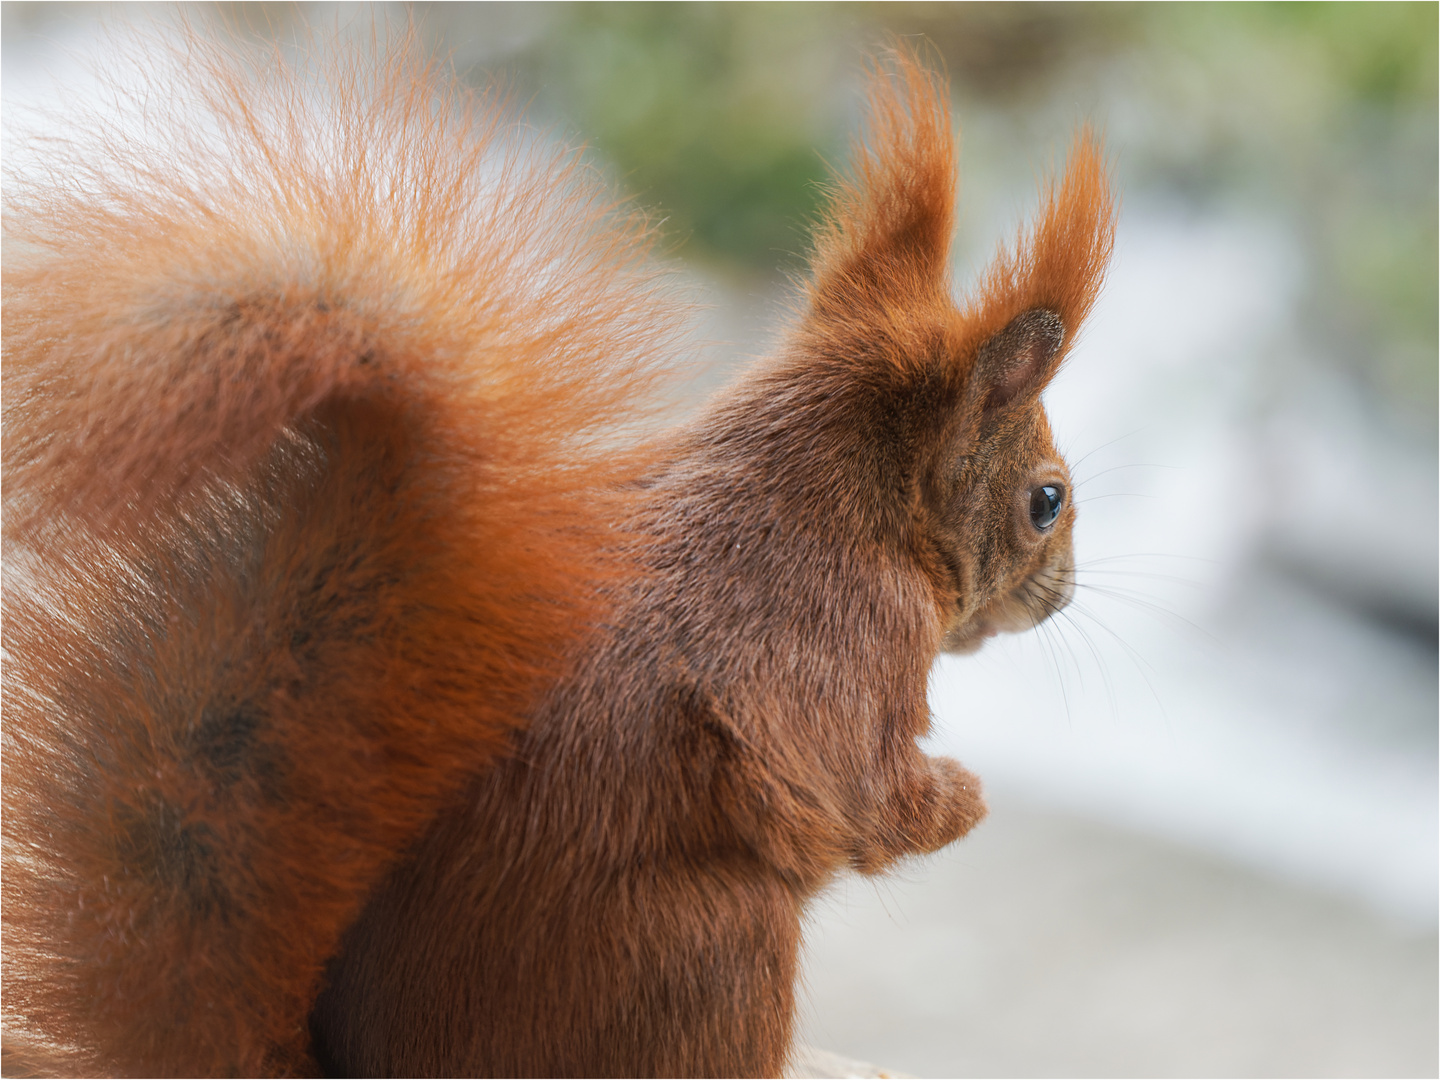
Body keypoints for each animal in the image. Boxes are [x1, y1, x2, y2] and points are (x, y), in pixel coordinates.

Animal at [2, 27, 1111, 1080]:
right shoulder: (848, 647)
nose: (1060, 598)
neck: (839, 503)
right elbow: (866, 799)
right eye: (1046, 501)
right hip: (714, 948)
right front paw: (961, 798)